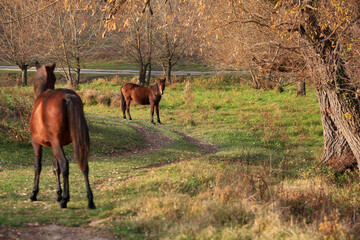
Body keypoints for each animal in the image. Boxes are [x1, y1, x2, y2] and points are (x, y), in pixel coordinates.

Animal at [29, 62, 95, 209]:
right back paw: (90, 201)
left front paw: (34, 193)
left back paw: (65, 200)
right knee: (84, 164)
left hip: (55, 144)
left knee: (65, 164)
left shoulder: (37, 143)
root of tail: (67, 96)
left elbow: (38, 166)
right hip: (73, 142)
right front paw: (58, 194)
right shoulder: (55, 145)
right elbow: (56, 168)